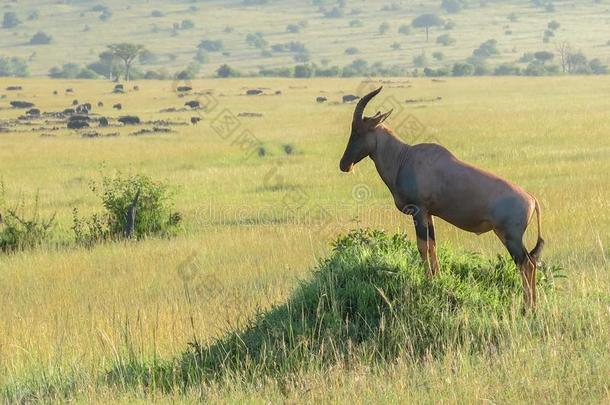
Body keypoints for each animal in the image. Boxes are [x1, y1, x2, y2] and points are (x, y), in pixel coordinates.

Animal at [340, 85, 544, 306]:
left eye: (358, 130)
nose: (344, 164)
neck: (405, 157)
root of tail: (532, 200)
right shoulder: (429, 214)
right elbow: (432, 246)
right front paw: (437, 279)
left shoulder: (418, 210)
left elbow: (422, 246)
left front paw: (428, 280)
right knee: (532, 262)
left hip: (511, 237)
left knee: (526, 264)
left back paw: (528, 306)